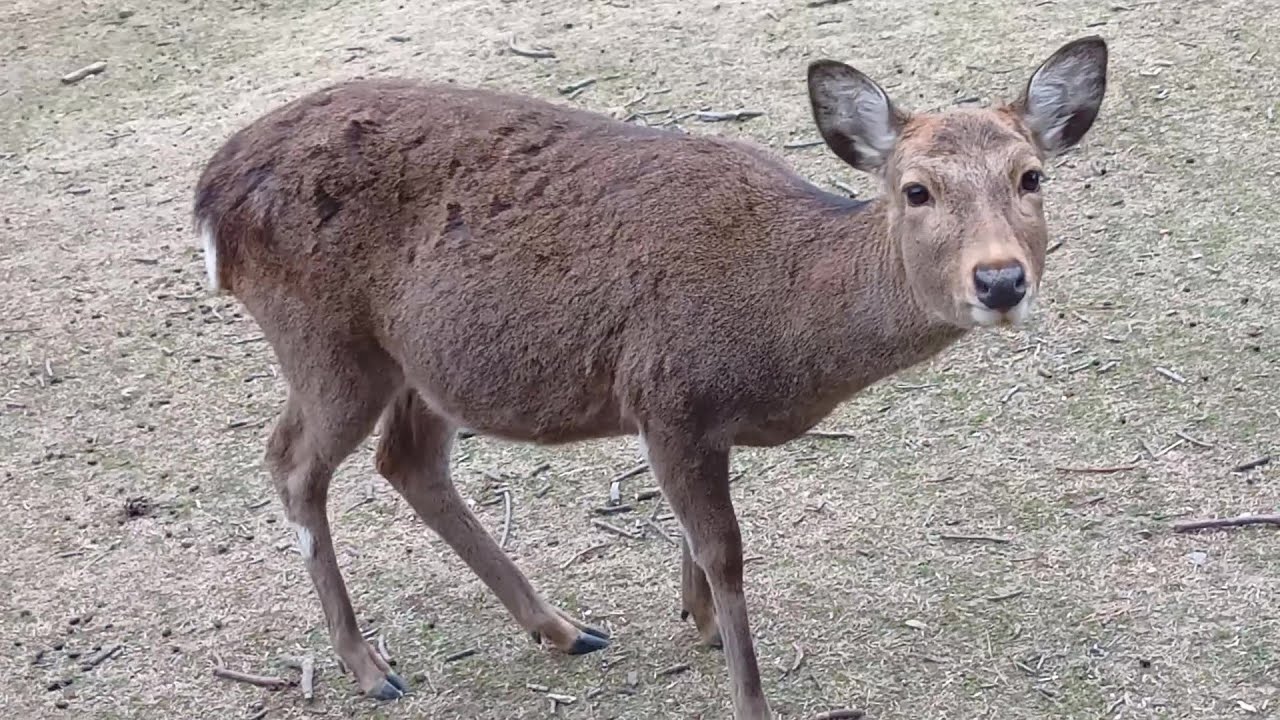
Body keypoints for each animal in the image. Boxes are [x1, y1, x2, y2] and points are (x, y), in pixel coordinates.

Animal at [192, 36, 1107, 719]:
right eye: (915, 190)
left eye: (1032, 176)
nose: (1000, 280)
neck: (783, 330)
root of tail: (211, 192)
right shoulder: (666, 394)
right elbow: (725, 549)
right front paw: (748, 694)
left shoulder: (694, 419)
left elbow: (697, 539)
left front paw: (696, 620)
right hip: (326, 342)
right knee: (292, 463)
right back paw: (369, 667)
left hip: (423, 365)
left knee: (407, 462)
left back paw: (562, 628)